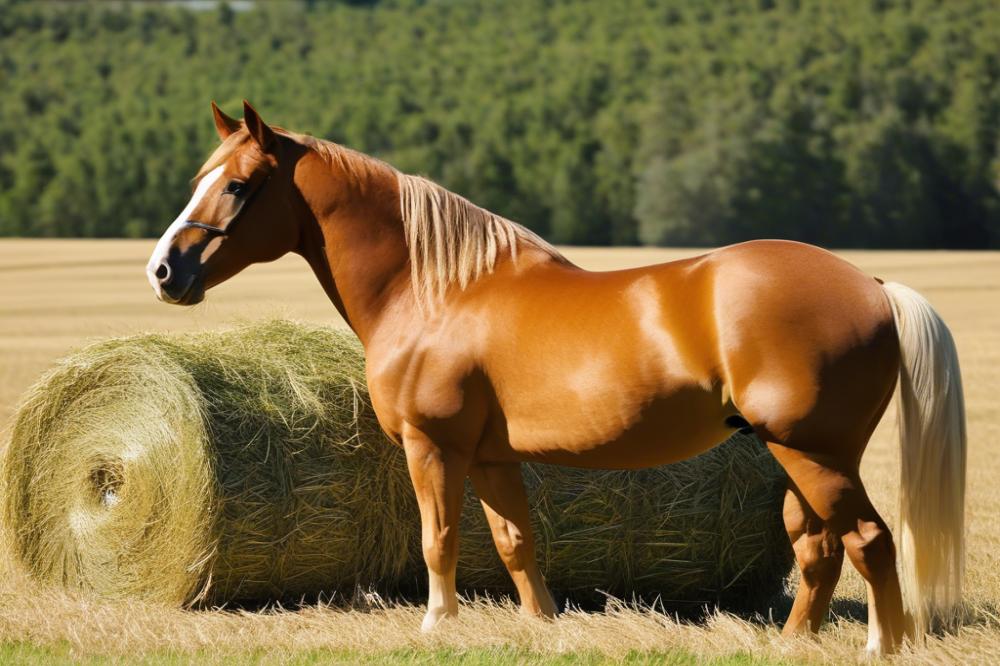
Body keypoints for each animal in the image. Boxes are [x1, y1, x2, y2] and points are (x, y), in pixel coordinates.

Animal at [145, 101, 964, 652]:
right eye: (199, 178)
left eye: (239, 186)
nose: (164, 271)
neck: (436, 290)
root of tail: (869, 285)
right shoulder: (490, 457)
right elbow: (516, 542)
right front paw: (540, 626)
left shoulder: (433, 447)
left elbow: (438, 538)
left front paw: (437, 623)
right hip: (803, 455)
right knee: (817, 546)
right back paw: (794, 642)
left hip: (813, 452)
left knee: (868, 540)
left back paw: (881, 646)